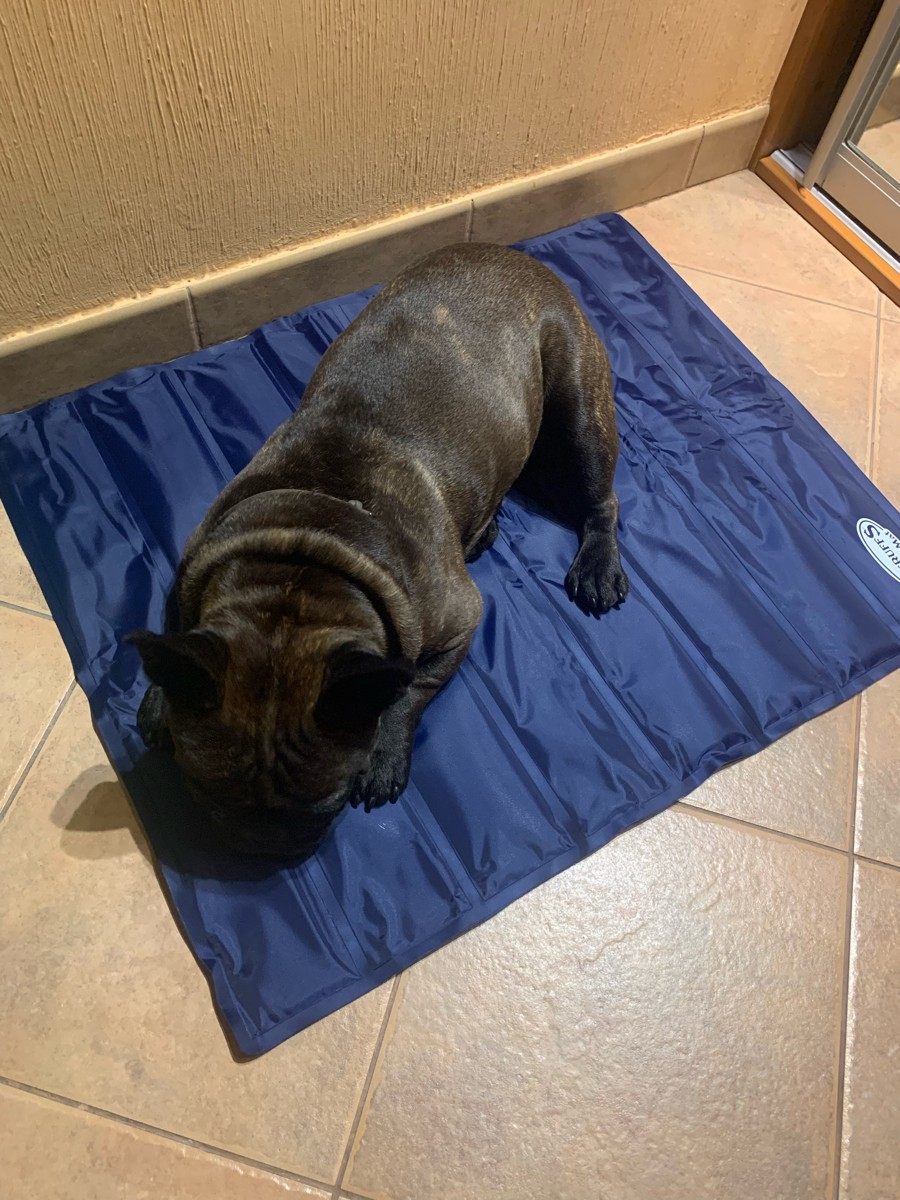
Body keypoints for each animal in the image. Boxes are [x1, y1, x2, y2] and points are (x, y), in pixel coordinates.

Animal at [129, 243, 628, 858]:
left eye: (329, 803)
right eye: (205, 796)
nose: (264, 849)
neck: (305, 562)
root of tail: (521, 258)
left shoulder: (460, 621)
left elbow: (410, 686)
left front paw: (384, 751)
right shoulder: (191, 563)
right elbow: (175, 625)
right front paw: (161, 695)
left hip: (580, 409)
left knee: (600, 498)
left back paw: (598, 566)